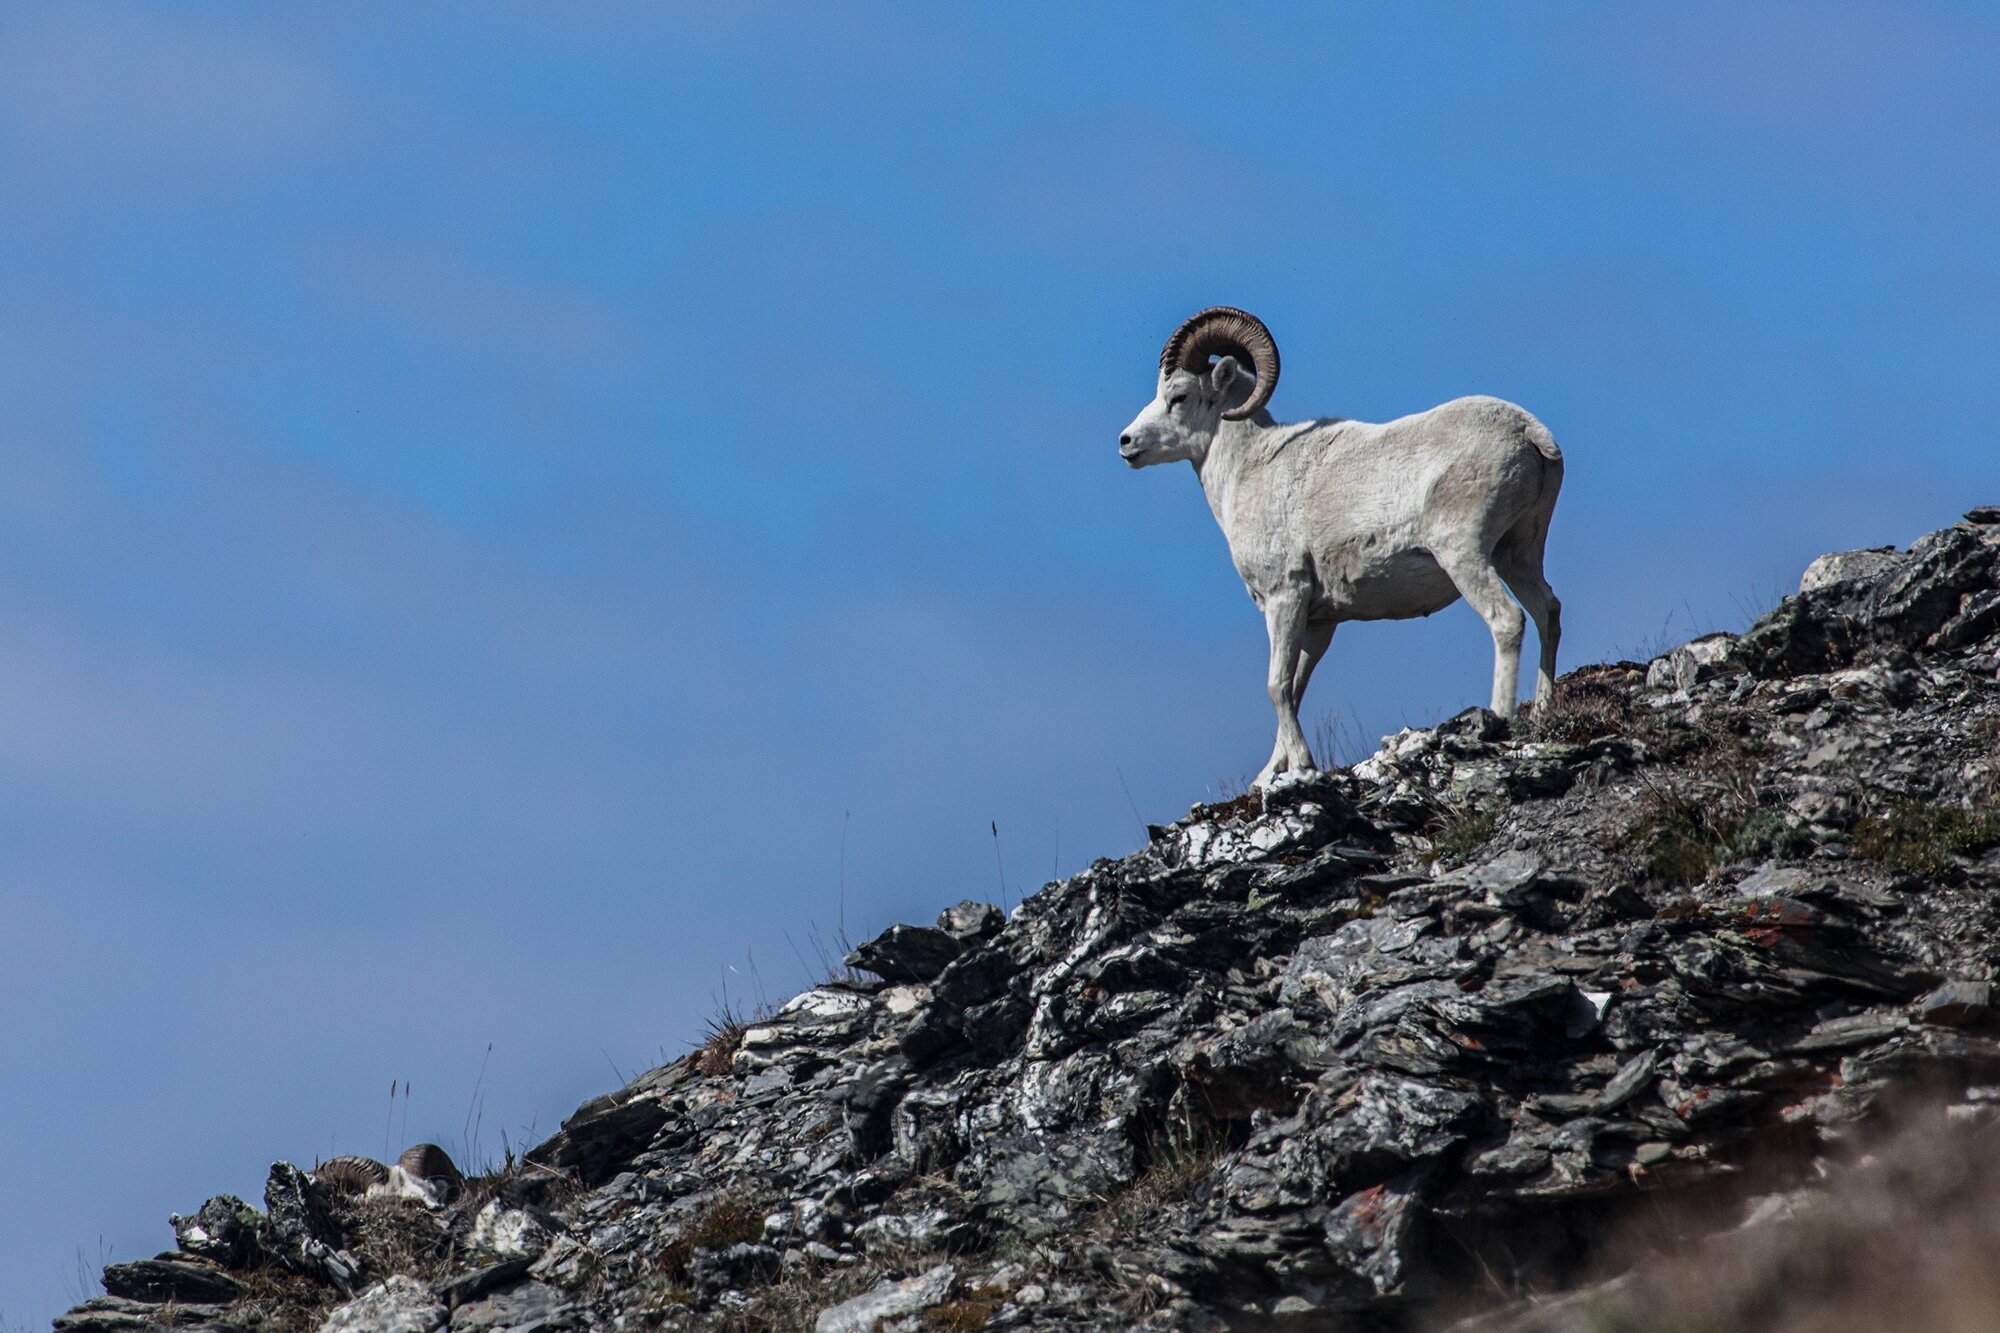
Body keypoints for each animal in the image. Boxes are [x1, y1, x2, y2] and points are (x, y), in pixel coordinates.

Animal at [1118, 307, 1564, 787]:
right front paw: (1271, 774)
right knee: (1547, 613)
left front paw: (1302, 764)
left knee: (1507, 619)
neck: (1249, 471)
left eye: (1179, 396)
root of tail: (1531, 434)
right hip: (1518, 556)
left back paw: (1498, 718)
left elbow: (1276, 686)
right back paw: (1543, 710)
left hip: (1464, 555)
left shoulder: (1285, 599)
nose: (1127, 442)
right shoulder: (1320, 622)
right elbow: (1294, 689)